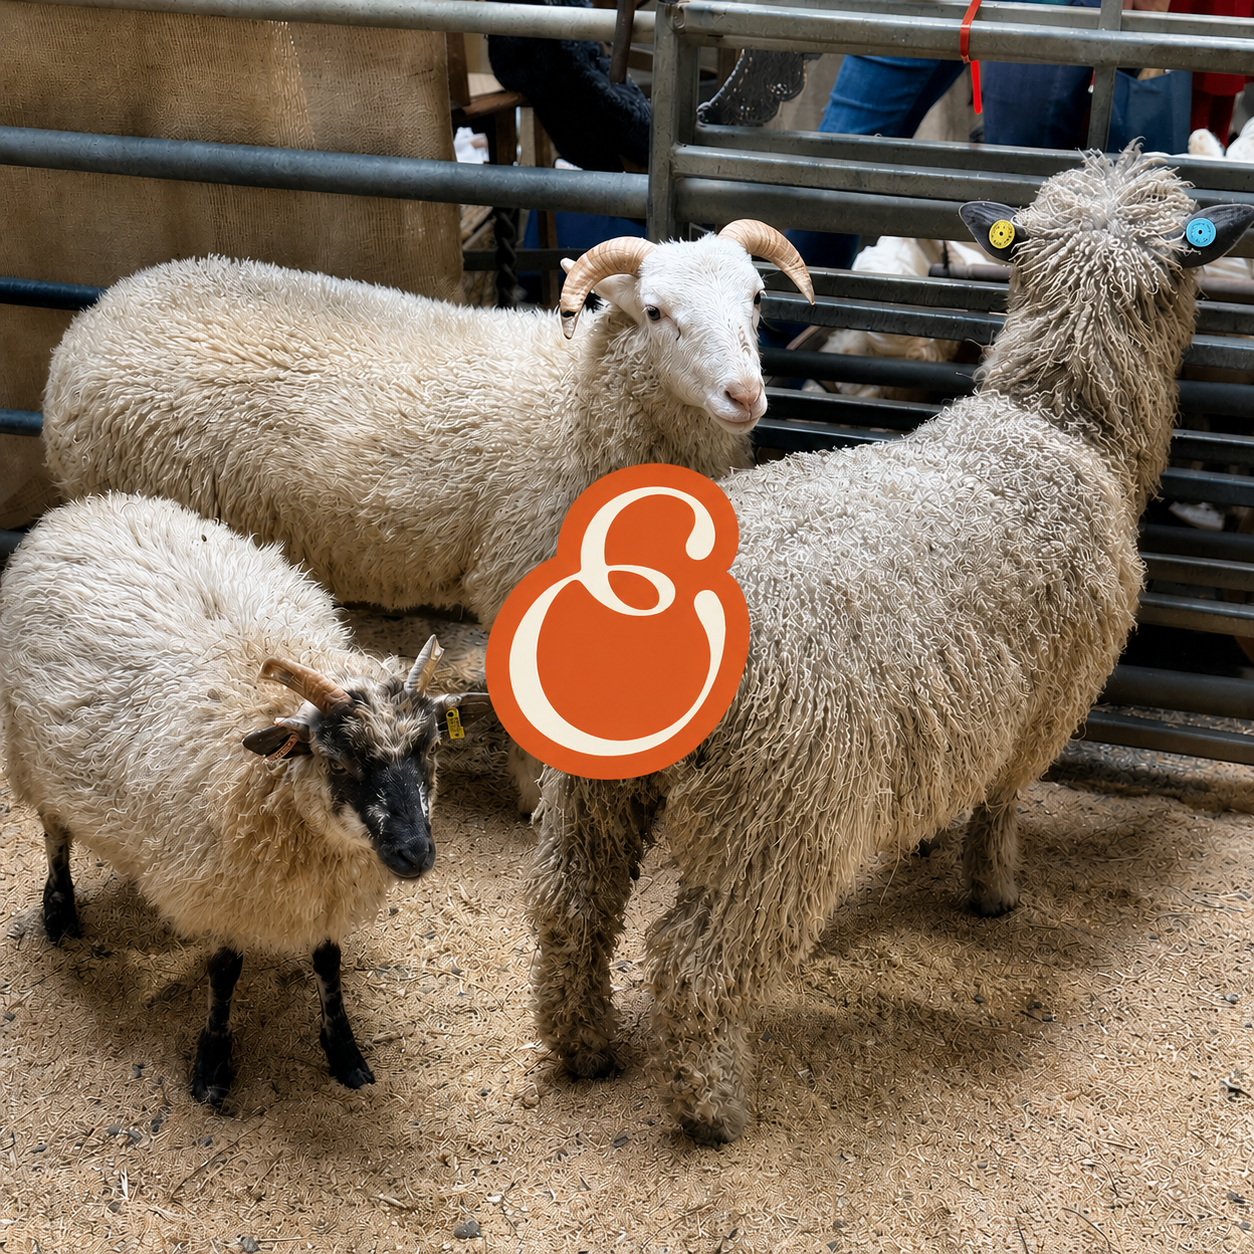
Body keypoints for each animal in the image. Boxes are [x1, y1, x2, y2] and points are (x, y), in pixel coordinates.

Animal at [0, 492, 490, 1104]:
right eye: (337, 763)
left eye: (431, 750)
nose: (416, 854)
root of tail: (85, 507)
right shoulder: (222, 886)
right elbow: (224, 971)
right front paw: (212, 1064)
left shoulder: (320, 892)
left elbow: (328, 964)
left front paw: (343, 1051)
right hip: (32, 750)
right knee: (54, 830)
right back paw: (60, 910)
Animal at [527, 148, 1254, 1144]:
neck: (1057, 425)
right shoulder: (1046, 707)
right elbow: (1002, 803)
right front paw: (993, 891)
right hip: (782, 806)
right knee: (696, 958)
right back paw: (712, 1105)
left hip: (594, 783)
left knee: (570, 907)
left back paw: (584, 1047)